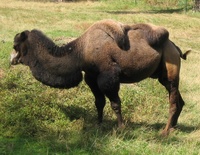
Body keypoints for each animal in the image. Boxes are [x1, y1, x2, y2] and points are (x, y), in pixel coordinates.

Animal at [9, 19, 191, 136]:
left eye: (15, 45)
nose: (11, 59)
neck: (80, 52)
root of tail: (175, 47)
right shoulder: (91, 77)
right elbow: (99, 102)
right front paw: (98, 124)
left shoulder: (108, 76)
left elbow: (115, 104)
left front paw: (121, 129)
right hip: (162, 74)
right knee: (178, 98)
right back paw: (173, 127)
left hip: (170, 67)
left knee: (173, 100)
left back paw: (165, 131)